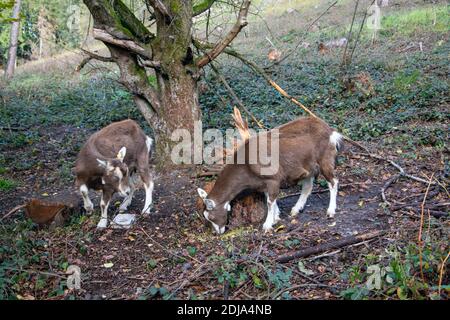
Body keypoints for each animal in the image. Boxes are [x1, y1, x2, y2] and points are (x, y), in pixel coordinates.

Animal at [197, 116, 342, 234]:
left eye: (210, 216)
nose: (217, 232)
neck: (246, 166)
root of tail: (331, 131)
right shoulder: (264, 182)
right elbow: (270, 198)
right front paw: (276, 218)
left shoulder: (273, 178)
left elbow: (270, 201)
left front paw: (267, 225)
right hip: (308, 167)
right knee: (307, 186)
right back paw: (296, 209)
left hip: (325, 159)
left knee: (333, 181)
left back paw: (330, 211)